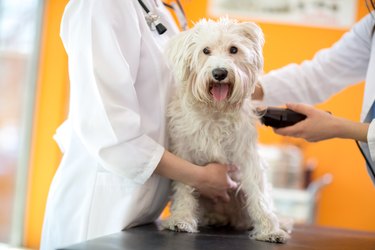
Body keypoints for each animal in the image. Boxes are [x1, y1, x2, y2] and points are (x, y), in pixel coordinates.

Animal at [162, 18, 290, 244]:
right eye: (205, 50)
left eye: (234, 49)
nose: (219, 73)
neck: (215, 110)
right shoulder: (184, 152)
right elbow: (184, 186)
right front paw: (181, 218)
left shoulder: (246, 155)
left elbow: (258, 194)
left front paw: (269, 229)